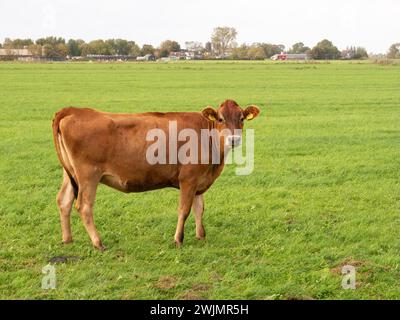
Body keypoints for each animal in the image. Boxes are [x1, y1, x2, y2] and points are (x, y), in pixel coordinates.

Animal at [52, 100, 260, 250]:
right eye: (220, 119)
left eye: (242, 118)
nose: (234, 139)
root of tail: (73, 110)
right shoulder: (188, 179)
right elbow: (184, 209)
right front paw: (178, 239)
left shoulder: (199, 180)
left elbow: (199, 208)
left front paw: (201, 235)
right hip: (88, 175)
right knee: (84, 206)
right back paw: (98, 243)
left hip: (70, 174)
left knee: (64, 200)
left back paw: (67, 239)